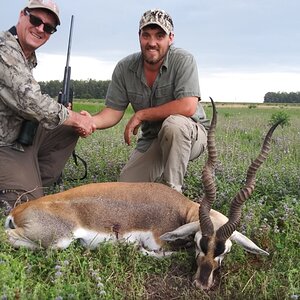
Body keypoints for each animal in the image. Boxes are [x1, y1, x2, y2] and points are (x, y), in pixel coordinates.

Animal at [4, 99, 282, 290]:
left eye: (225, 251)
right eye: (199, 243)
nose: (201, 283)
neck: (182, 211)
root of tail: (18, 210)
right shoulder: (158, 241)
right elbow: (165, 251)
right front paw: (140, 250)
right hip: (59, 239)